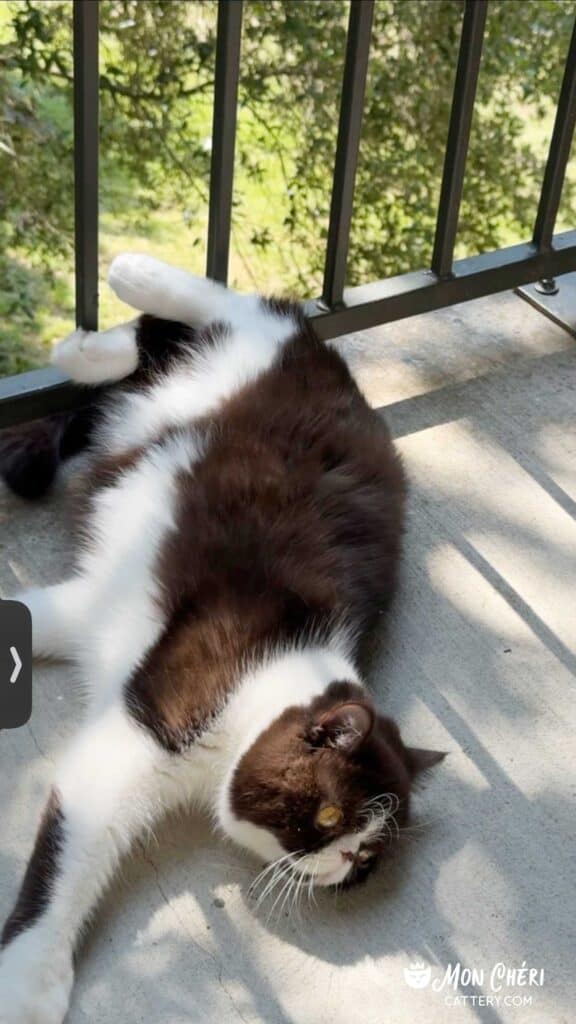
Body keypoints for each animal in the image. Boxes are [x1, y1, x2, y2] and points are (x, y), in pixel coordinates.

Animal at [0, 249, 444, 1024]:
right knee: (242, 308)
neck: (269, 675)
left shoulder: (89, 609)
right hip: (265, 349)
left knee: (169, 341)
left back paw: (88, 350)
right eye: (331, 813)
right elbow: (68, 853)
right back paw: (133, 280)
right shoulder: (158, 716)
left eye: (369, 855)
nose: (342, 862)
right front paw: (28, 981)